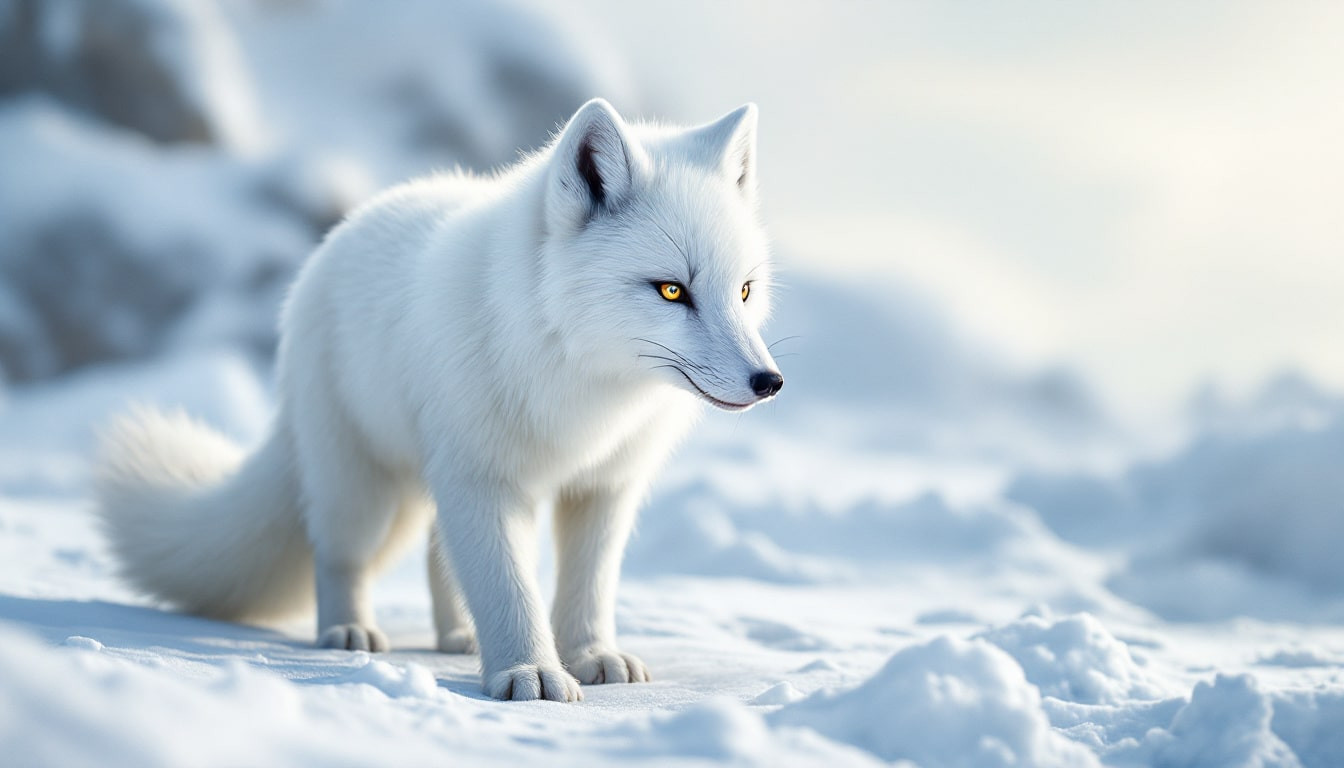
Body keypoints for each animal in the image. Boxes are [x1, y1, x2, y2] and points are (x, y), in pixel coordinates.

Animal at [94, 99, 783, 702]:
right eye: (671, 290)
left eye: (744, 291)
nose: (769, 382)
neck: (582, 388)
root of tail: (333, 242)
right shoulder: (482, 479)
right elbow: (508, 587)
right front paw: (530, 674)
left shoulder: (603, 487)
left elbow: (586, 589)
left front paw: (590, 656)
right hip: (363, 487)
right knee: (338, 555)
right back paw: (347, 630)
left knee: (437, 555)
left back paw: (458, 635)